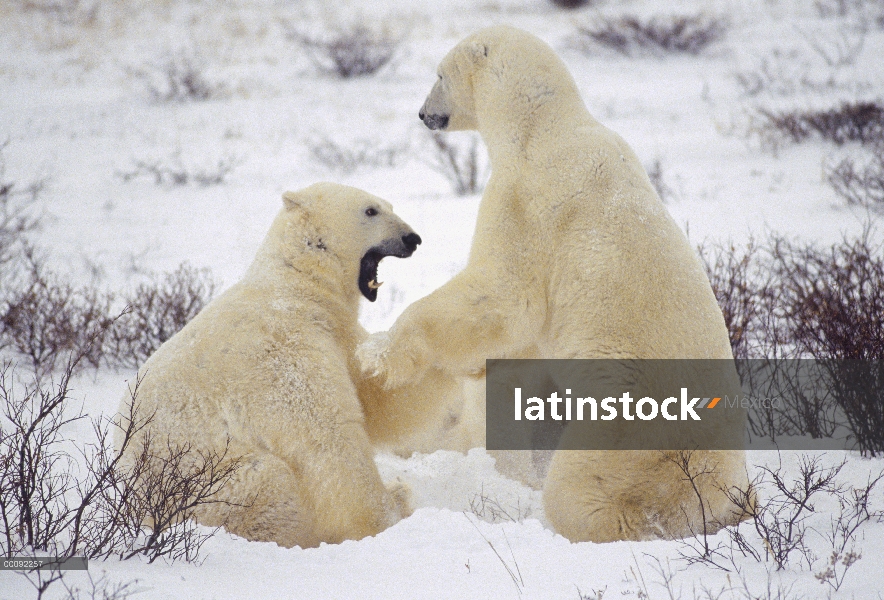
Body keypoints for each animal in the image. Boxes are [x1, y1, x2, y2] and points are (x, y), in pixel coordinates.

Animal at [115, 183, 426, 548]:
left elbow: (378, 397)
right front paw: (389, 508)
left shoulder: (335, 332)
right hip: (206, 483)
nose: (412, 238)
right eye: (370, 210)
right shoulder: (284, 348)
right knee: (271, 480)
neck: (295, 284)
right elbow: (328, 436)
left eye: (389, 205)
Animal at [360, 27, 752, 544]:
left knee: (583, 488)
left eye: (439, 74)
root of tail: (709, 484)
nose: (424, 114)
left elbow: (503, 295)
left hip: (627, 429)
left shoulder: (526, 201)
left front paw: (380, 354)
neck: (543, 128)